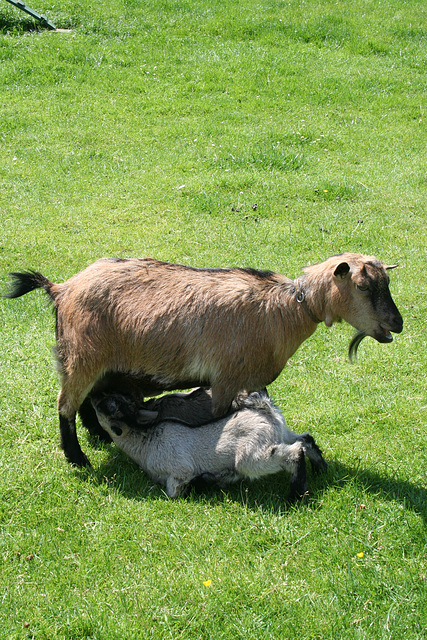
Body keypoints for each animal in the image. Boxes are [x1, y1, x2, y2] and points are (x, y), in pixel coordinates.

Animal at [5, 252, 402, 468]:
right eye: (363, 286)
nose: (396, 323)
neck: (285, 309)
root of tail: (60, 289)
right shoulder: (225, 379)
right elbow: (219, 418)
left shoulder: (251, 382)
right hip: (81, 355)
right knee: (65, 404)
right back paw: (78, 459)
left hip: (96, 362)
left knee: (87, 399)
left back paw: (98, 437)